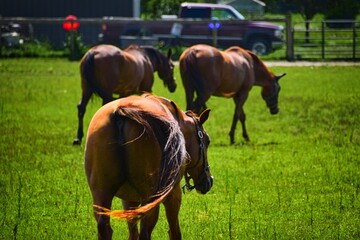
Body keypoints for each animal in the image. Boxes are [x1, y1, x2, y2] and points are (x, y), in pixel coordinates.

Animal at [85, 93, 212, 238]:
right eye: (207, 141)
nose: (209, 180)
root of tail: (120, 111)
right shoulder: (174, 194)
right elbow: (174, 231)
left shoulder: (129, 200)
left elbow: (132, 233)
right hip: (150, 199)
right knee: (145, 232)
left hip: (101, 194)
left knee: (104, 227)